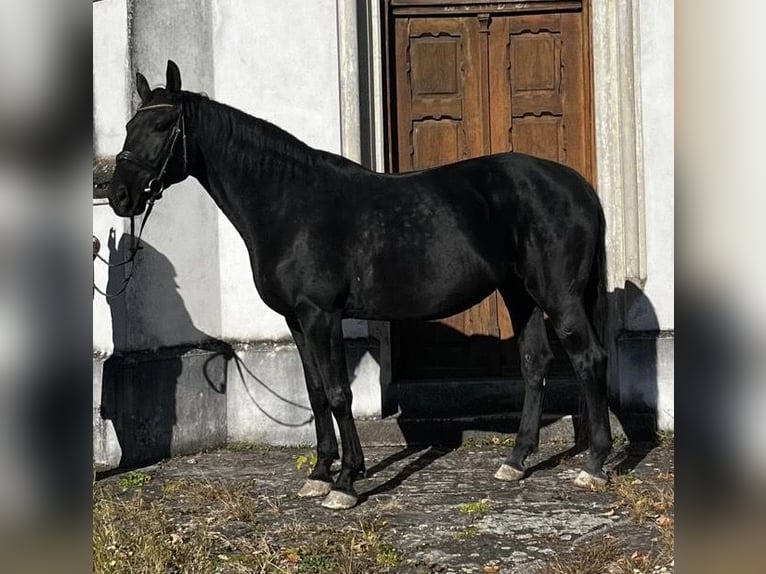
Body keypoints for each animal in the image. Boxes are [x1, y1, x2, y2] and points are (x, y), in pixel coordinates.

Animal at [108, 60, 612, 510]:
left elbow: (337, 392)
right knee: (535, 363)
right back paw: (517, 460)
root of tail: (578, 186)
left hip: (558, 295)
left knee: (588, 358)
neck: (289, 203)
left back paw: (595, 465)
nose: (118, 195)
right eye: (130, 124)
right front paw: (318, 474)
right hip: (519, 293)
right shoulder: (296, 320)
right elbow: (314, 392)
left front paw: (346, 482)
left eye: (164, 125)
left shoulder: (321, 314)